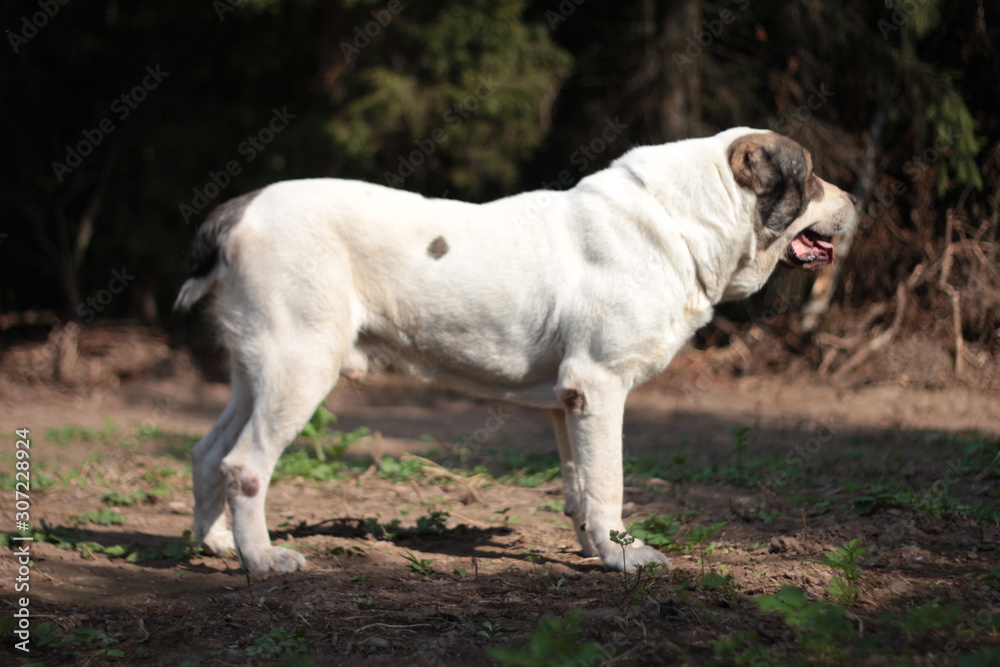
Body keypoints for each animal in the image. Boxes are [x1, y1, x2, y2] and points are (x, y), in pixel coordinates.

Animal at [176, 128, 856, 572]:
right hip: (301, 365)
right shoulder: (599, 386)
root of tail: (241, 209)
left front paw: (593, 550)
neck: (685, 219)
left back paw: (216, 546)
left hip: (258, 370)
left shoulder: (567, 402)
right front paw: (626, 557)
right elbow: (608, 481)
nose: (857, 201)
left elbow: (579, 486)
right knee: (244, 465)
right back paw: (263, 561)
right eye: (811, 177)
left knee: (209, 452)